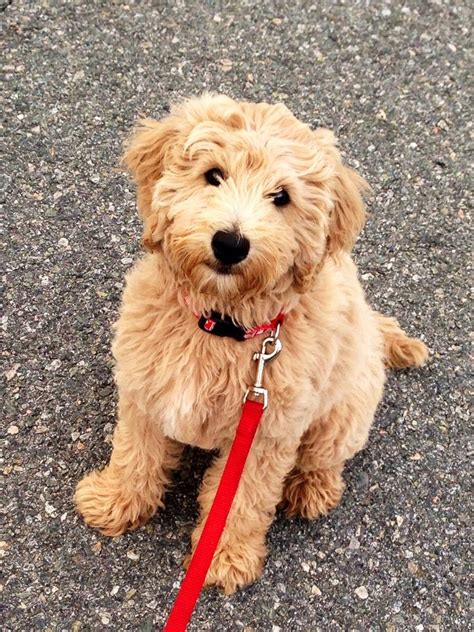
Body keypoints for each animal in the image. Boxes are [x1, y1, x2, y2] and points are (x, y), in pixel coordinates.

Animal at [75, 92, 430, 592]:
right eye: (213, 174)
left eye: (281, 197)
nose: (230, 242)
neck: (222, 324)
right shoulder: (144, 392)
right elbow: (134, 453)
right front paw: (115, 502)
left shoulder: (264, 433)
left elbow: (240, 499)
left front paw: (223, 556)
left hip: (344, 413)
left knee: (327, 457)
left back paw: (311, 488)